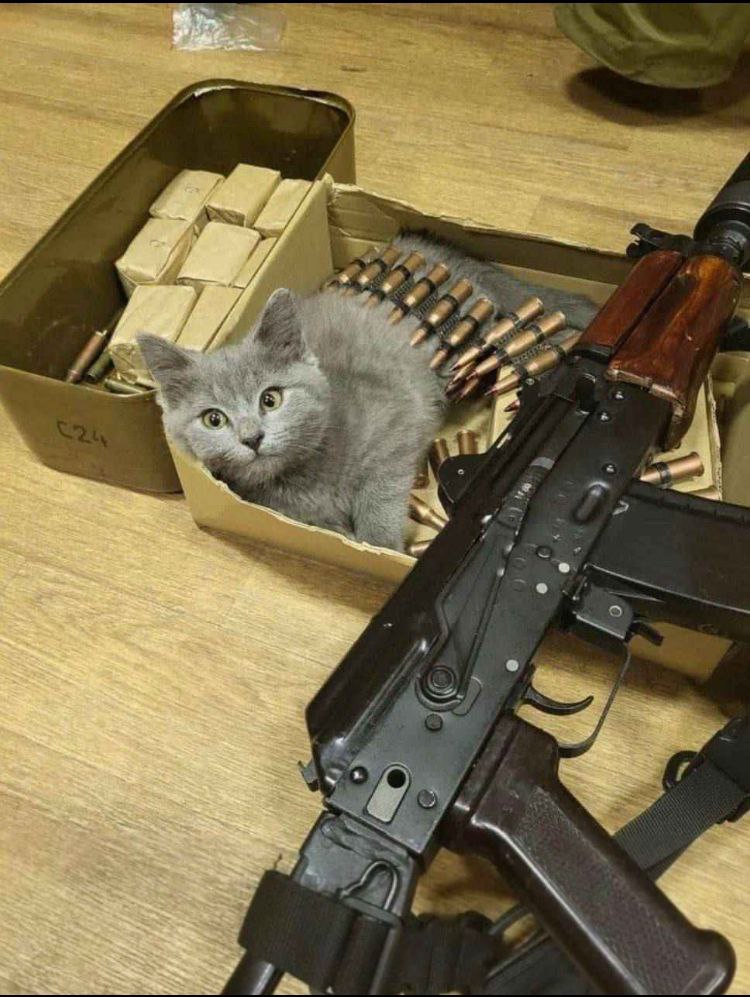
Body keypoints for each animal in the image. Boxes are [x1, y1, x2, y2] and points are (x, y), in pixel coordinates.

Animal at [139, 231, 597, 552]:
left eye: (271, 398)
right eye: (213, 419)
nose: (251, 438)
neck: (302, 475)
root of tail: (412, 242)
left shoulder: (397, 421)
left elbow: (380, 492)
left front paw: (380, 544)